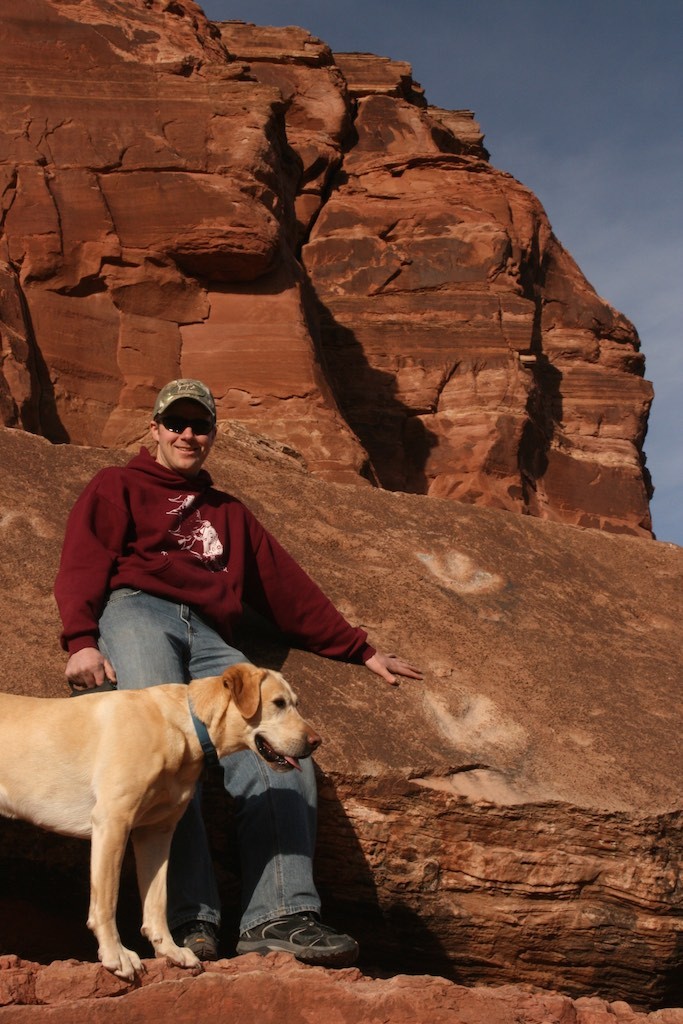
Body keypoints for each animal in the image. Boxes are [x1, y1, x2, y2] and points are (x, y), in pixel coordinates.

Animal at [0, 663, 323, 983]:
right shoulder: (113, 821)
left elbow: (157, 899)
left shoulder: (156, 832)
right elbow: (107, 901)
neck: (185, 726)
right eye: (278, 703)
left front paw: (169, 951)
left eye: (296, 703)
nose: (316, 742)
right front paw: (115, 953)